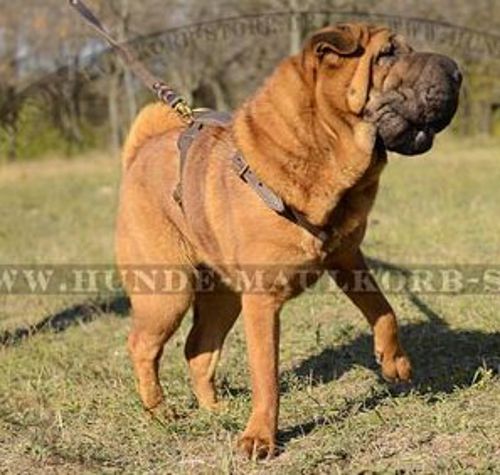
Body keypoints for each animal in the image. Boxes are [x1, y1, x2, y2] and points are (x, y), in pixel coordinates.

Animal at [116, 24, 460, 460]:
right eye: (386, 54)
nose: (457, 72)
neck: (320, 147)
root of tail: (140, 151)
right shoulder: (263, 301)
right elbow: (267, 376)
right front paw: (260, 438)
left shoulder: (347, 258)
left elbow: (384, 310)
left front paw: (393, 362)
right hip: (167, 294)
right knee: (143, 347)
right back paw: (161, 413)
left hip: (224, 297)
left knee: (197, 348)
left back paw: (215, 410)